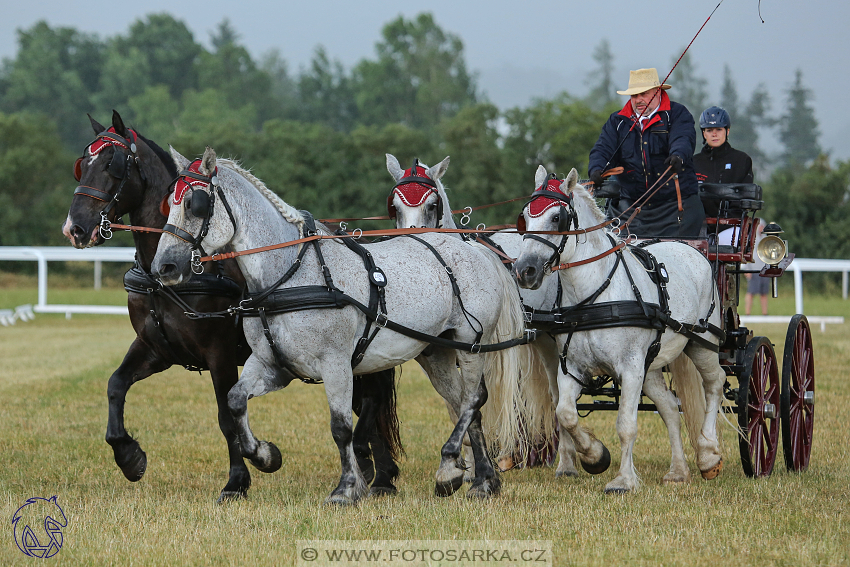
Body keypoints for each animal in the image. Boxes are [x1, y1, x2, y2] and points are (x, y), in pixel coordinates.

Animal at [63, 111, 400, 502]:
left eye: (112, 165)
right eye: (81, 165)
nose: (75, 227)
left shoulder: (219, 352)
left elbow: (226, 416)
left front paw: (238, 479)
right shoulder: (155, 348)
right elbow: (115, 385)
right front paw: (129, 457)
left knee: (372, 400)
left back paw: (376, 471)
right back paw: (378, 472)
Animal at [149, 148, 528, 506]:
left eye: (196, 205)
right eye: (169, 203)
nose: (164, 267)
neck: (291, 274)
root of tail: (472, 245)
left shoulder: (336, 365)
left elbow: (341, 427)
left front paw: (346, 489)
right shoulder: (272, 365)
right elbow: (235, 400)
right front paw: (266, 455)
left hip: (471, 344)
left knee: (473, 399)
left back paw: (460, 469)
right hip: (436, 352)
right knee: (462, 402)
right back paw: (479, 478)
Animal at [510, 166, 724, 494]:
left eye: (557, 218)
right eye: (524, 217)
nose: (525, 270)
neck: (592, 295)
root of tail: (688, 248)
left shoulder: (630, 368)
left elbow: (626, 425)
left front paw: (623, 480)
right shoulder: (572, 368)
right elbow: (565, 413)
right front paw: (595, 456)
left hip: (702, 342)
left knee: (714, 385)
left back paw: (709, 454)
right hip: (652, 365)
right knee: (670, 408)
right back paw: (677, 471)